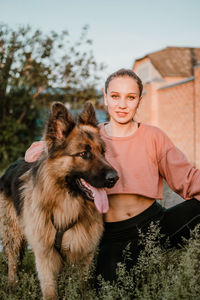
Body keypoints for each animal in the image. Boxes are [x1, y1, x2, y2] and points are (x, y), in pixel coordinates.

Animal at [0, 102, 119, 298]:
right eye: (84, 154)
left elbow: (80, 287)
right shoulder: (45, 256)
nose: (114, 178)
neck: (66, 206)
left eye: (103, 152)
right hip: (13, 235)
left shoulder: (83, 253)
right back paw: (12, 289)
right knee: (13, 264)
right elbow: (50, 292)